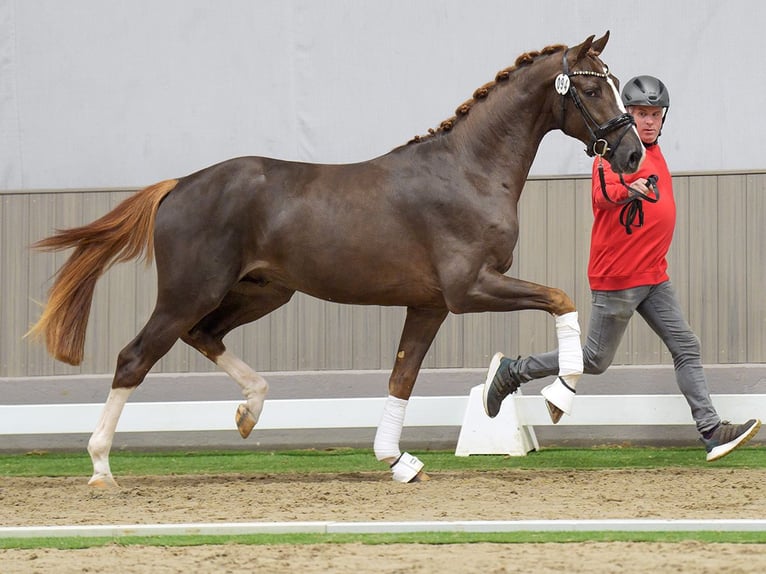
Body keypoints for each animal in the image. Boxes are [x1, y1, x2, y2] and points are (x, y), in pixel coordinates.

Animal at [28, 33, 640, 488]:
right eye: (593, 87)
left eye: (616, 84)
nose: (633, 152)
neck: (469, 171)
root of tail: (179, 185)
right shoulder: (469, 290)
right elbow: (560, 298)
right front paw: (560, 398)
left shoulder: (430, 305)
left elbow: (402, 377)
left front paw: (398, 461)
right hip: (190, 292)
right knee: (135, 357)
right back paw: (101, 466)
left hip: (262, 290)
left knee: (204, 336)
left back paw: (250, 411)